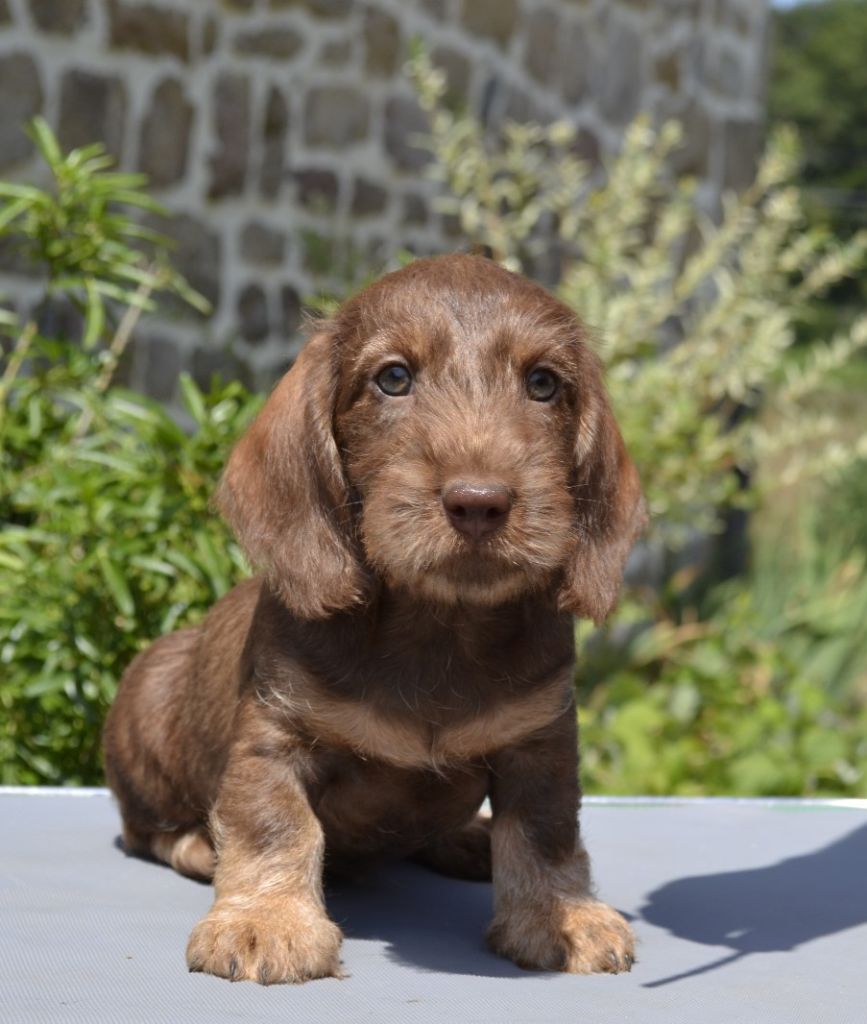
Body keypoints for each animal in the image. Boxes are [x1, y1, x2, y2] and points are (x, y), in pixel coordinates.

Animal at [101, 253, 646, 983]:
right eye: (393, 378)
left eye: (542, 383)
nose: (480, 501)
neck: (438, 625)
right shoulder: (272, 737)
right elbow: (274, 824)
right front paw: (266, 920)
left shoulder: (542, 744)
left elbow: (545, 832)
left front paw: (561, 914)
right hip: (148, 701)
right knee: (145, 829)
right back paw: (194, 844)